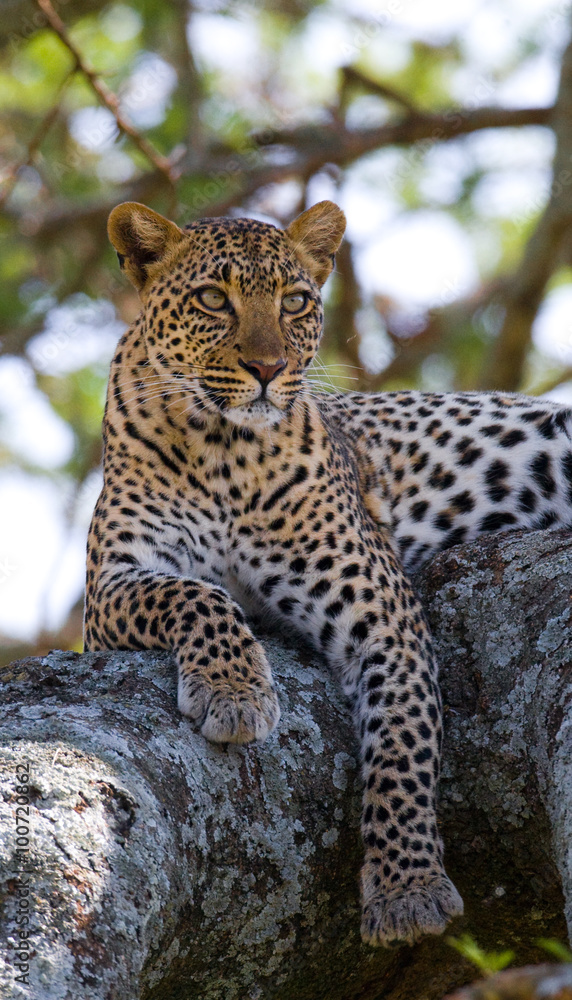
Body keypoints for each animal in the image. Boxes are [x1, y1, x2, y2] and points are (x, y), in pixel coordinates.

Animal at [84, 199, 572, 948]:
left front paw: (408, 887)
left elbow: (404, 747)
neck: (224, 451)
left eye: (294, 302)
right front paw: (235, 691)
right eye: (213, 299)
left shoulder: (386, 617)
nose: (266, 366)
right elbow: (196, 592)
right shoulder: (112, 584)